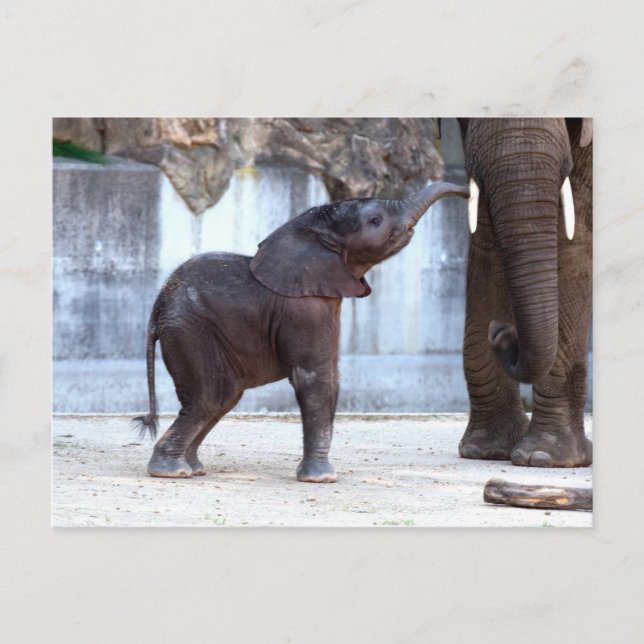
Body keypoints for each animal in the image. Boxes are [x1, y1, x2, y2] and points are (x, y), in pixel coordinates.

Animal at [134, 181, 468, 482]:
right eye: (375, 220)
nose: (468, 193)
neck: (312, 231)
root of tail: (156, 309)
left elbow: (329, 376)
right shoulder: (305, 309)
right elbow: (315, 377)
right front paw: (322, 479)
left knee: (224, 398)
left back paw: (194, 468)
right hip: (190, 331)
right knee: (212, 397)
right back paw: (171, 471)